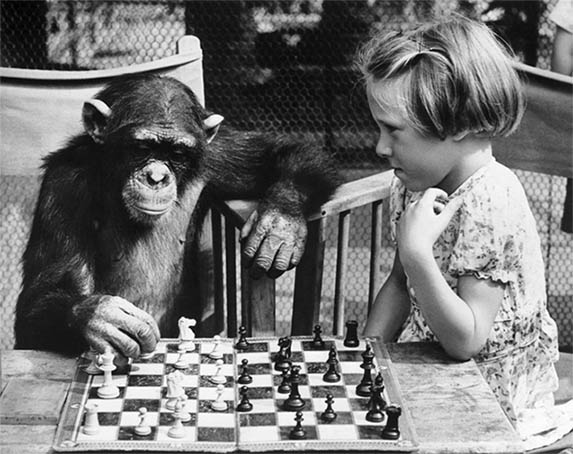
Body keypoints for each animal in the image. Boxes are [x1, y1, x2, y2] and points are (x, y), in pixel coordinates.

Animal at [14, 74, 340, 358]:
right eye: (142, 147)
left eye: (178, 153)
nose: (157, 177)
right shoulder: (64, 186)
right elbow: (43, 294)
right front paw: (100, 317)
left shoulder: (217, 153)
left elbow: (284, 150)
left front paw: (279, 223)